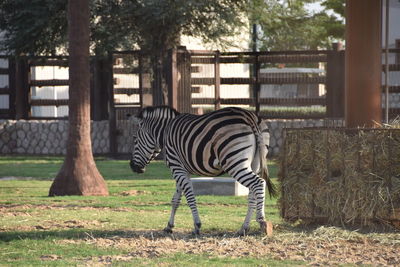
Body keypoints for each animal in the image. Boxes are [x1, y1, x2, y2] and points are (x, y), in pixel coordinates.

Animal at [130, 105, 276, 236]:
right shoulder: (181, 170)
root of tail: (249, 116)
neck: (165, 131)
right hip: (255, 163)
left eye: (135, 140)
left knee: (259, 183)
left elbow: (189, 197)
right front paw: (169, 226)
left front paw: (197, 226)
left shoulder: (176, 167)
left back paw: (262, 221)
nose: (132, 166)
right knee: (253, 192)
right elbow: (175, 200)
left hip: (234, 162)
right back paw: (244, 228)